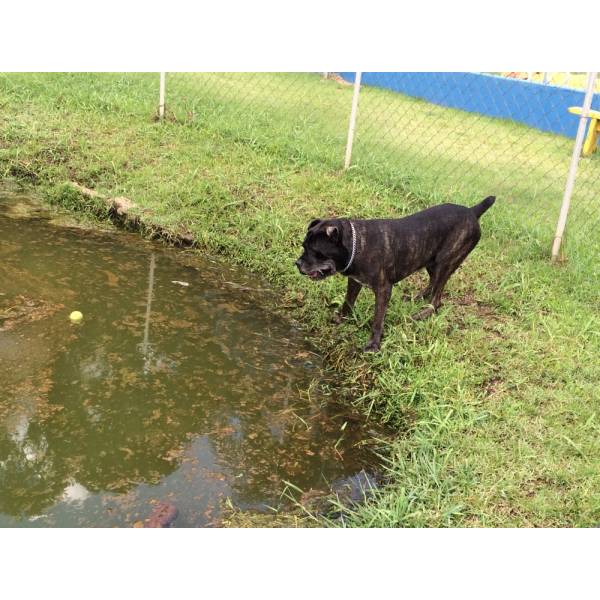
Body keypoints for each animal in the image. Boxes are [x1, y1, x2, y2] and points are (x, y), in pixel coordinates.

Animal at [296, 197, 496, 352]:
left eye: (316, 252)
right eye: (303, 246)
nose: (297, 264)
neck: (357, 244)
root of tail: (472, 211)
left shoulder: (383, 290)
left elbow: (378, 320)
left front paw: (374, 345)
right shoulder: (354, 281)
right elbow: (348, 301)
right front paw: (342, 318)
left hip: (445, 262)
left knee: (437, 298)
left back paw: (421, 314)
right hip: (430, 261)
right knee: (432, 284)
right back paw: (417, 298)